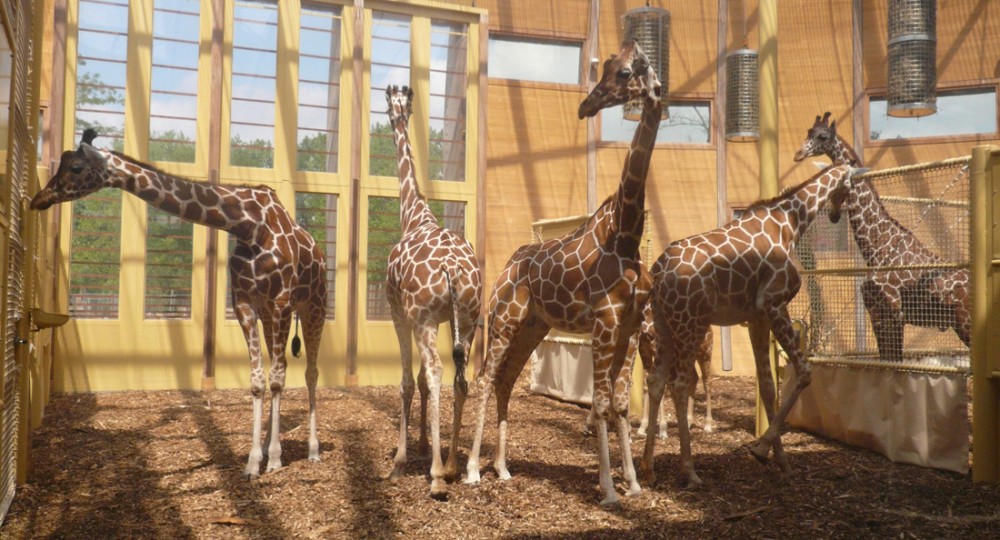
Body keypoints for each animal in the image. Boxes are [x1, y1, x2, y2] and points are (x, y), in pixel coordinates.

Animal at [31, 129, 326, 479]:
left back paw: (312, 450)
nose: (39, 199)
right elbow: (258, 381)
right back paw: (272, 444)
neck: (250, 226)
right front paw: (255, 460)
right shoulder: (246, 304)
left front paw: (277, 459)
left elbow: (278, 378)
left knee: (310, 372)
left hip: (313, 307)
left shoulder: (280, 302)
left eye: (75, 167)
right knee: (282, 369)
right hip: (271, 317)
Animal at [464, 41, 658, 507]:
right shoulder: (606, 321)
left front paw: (634, 482)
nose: (586, 105)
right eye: (607, 68)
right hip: (503, 320)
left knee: (505, 381)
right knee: (485, 380)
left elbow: (619, 403)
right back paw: (472, 470)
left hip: (533, 326)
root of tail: (505, 269)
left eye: (625, 73)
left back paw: (502, 468)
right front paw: (609, 488)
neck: (625, 235)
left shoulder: (630, 325)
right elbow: (601, 403)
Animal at [640, 163, 859, 486]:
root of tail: (659, 269)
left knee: (656, 381)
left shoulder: (757, 317)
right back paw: (689, 470)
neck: (789, 223)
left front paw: (779, 461)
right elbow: (804, 373)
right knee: (680, 383)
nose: (834, 214)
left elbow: (767, 385)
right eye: (851, 185)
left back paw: (648, 468)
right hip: (688, 322)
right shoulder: (774, 303)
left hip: (664, 325)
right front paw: (762, 449)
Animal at [793, 112, 971, 361]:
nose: (798, 154)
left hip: (966, 322)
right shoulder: (877, 313)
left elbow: (895, 363)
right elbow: (888, 361)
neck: (878, 248)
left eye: (822, 136)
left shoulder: (892, 312)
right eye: (809, 132)